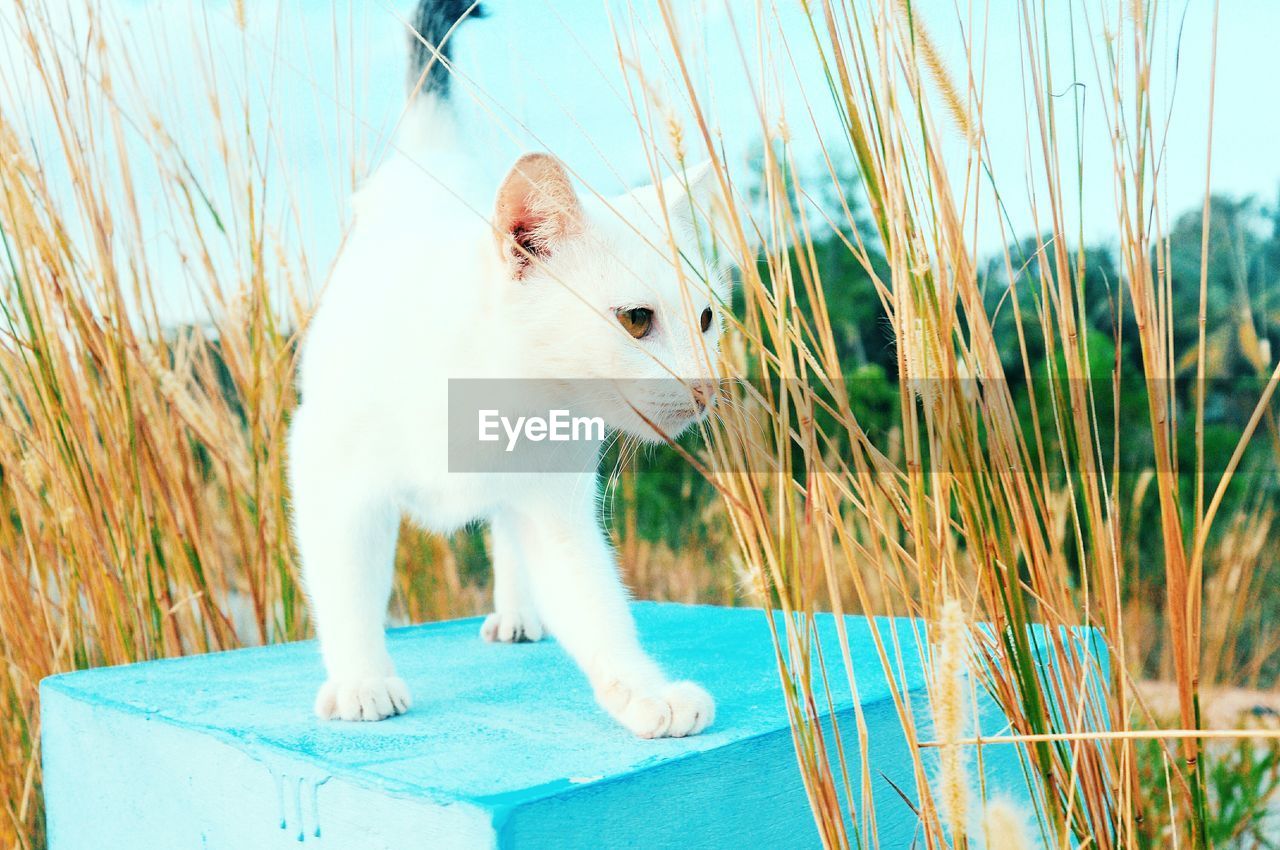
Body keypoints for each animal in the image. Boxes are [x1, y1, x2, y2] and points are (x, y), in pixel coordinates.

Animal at [293, 1, 732, 737]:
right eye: (636, 320)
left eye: (706, 319)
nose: (705, 388)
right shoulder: (329, 473)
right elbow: (348, 584)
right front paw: (361, 679)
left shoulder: (556, 505)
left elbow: (594, 603)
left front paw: (642, 691)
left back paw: (518, 612)